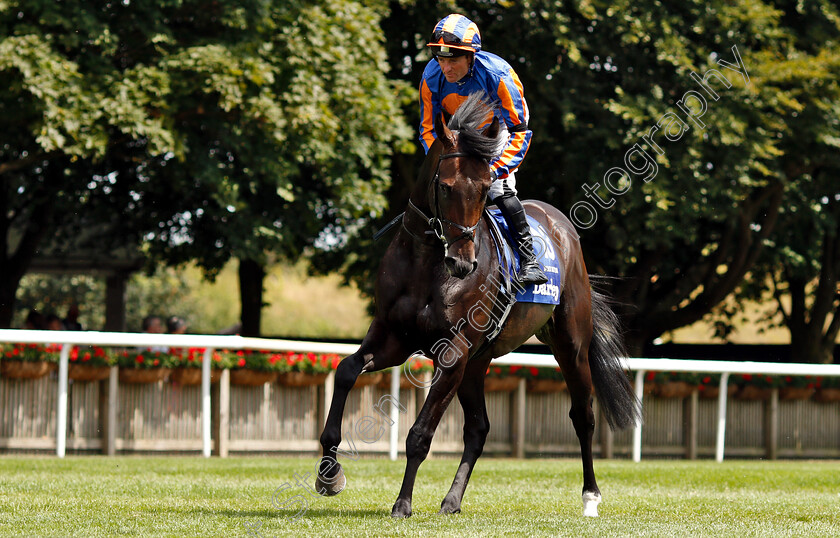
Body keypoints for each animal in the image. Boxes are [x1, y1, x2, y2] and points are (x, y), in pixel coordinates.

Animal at [318, 94, 640, 516]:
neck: (426, 262)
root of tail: (561, 224)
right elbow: (345, 371)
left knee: (582, 415)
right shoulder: (393, 337)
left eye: (486, 188)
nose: (463, 263)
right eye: (445, 186)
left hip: (570, 345)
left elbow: (420, 433)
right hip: (477, 360)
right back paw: (452, 500)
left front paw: (402, 503)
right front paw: (328, 474)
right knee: (479, 428)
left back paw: (590, 498)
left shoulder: (452, 350)